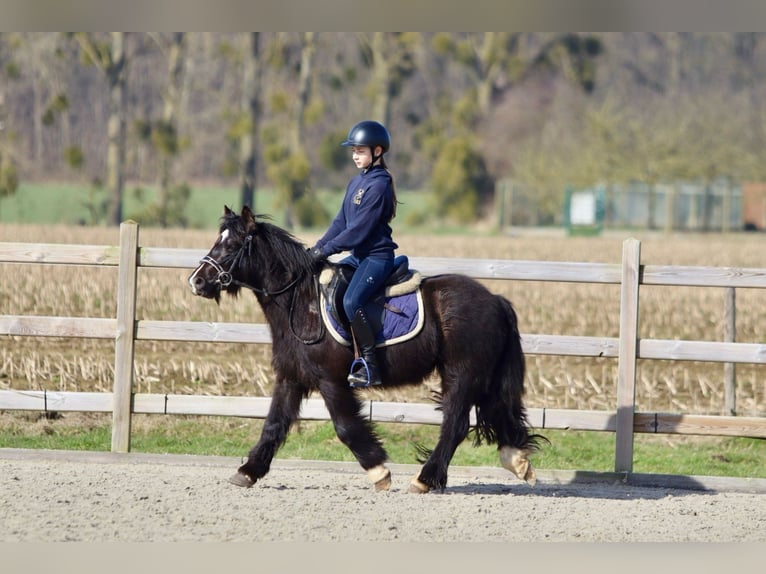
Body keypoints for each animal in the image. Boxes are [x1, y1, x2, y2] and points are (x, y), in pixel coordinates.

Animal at [188, 207, 544, 496]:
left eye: (232, 245)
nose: (197, 281)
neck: (299, 303)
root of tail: (495, 300)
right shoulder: (291, 377)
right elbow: (273, 426)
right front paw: (247, 472)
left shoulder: (331, 380)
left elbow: (345, 427)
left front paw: (379, 472)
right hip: (483, 375)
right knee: (497, 413)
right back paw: (518, 461)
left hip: (462, 373)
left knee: (454, 425)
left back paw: (425, 480)